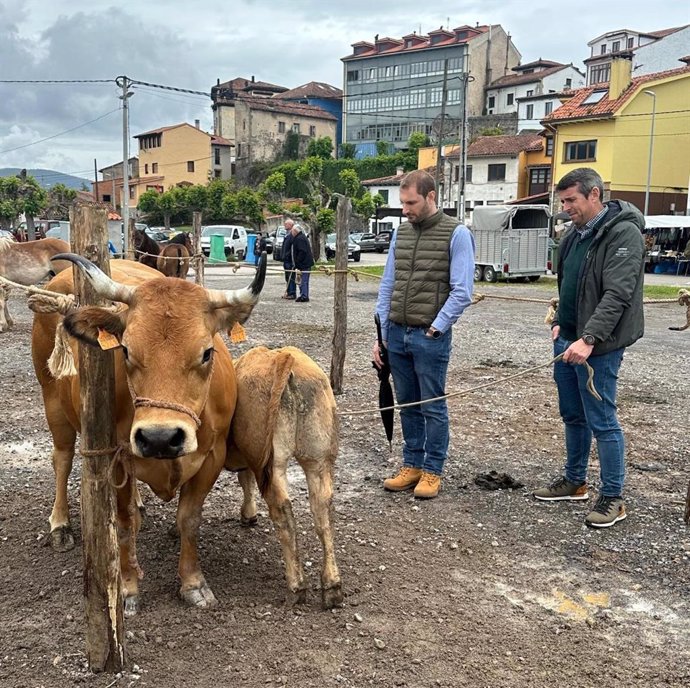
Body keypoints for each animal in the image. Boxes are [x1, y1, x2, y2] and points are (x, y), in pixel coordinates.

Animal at [31, 255, 266, 616]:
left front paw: (193, 584)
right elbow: (125, 523)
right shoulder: (117, 457)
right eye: (126, 350)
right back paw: (60, 525)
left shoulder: (213, 456)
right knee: (62, 460)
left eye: (207, 352)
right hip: (52, 401)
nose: (160, 437)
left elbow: (189, 519)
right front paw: (128, 589)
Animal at [227, 346, 342, 612]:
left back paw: (296, 587)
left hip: (273, 463)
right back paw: (332, 587)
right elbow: (245, 479)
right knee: (323, 512)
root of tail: (283, 356)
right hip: (319, 460)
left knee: (284, 514)